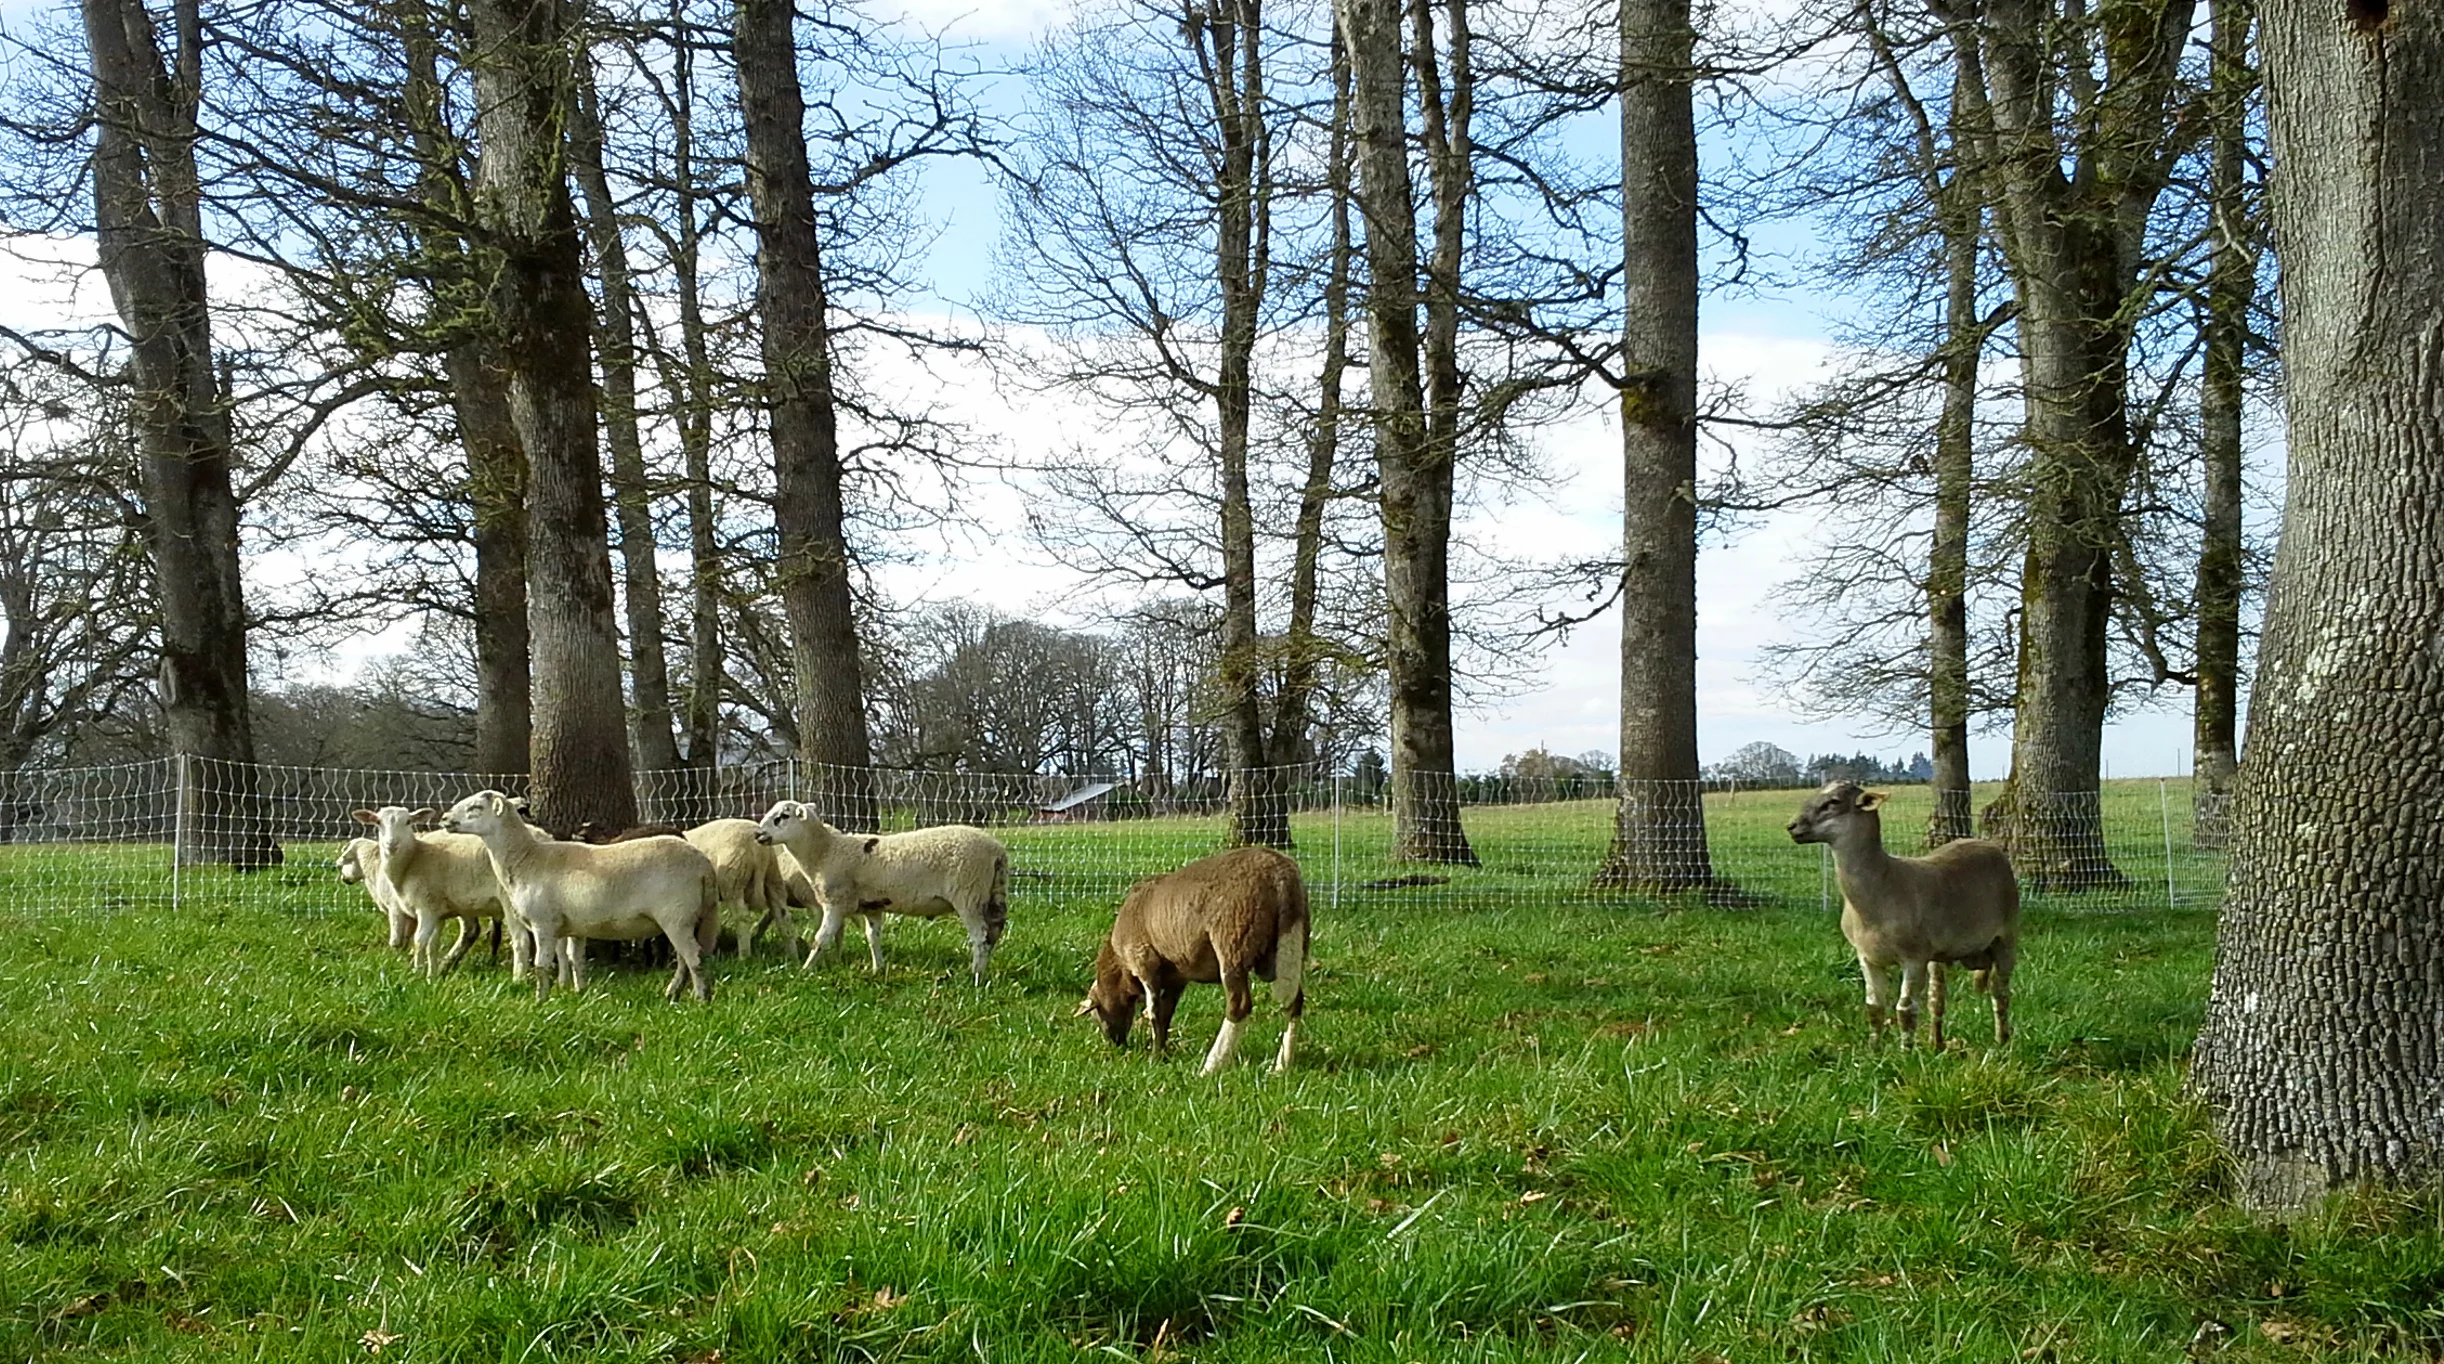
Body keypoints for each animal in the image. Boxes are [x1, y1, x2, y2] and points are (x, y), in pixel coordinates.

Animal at [351, 806, 522, 979]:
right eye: (378, 822)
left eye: (408, 821)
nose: (391, 844)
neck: (413, 858)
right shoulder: (438, 912)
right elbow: (432, 945)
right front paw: (431, 976)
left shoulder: (425, 908)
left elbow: (418, 941)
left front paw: (417, 974)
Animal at [442, 789, 718, 1002]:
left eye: (476, 807)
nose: (444, 818)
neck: (527, 860)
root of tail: (704, 864)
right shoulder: (576, 926)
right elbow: (576, 960)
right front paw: (580, 993)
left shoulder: (544, 923)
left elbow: (542, 966)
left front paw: (540, 1001)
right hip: (683, 918)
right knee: (683, 960)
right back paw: (674, 993)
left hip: (676, 916)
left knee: (694, 958)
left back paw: (701, 999)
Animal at [752, 801, 1009, 985]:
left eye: (782, 817)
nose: (757, 835)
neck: (825, 852)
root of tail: (997, 850)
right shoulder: (872, 906)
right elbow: (872, 937)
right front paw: (878, 969)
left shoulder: (836, 903)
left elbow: (821, 939)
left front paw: (805, 971)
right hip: (989, 896)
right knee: (992, 935)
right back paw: (981, 971)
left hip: (969, 894)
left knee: (981, 938)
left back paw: (975, 976)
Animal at [1078, 846, 1310, 1075]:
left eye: (1097, 1014)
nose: (1116, 1045)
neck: (1120, 968)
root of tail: (1280, 874)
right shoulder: (1177, 978)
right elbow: (1166, 1013)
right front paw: (1162, 1053)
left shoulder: (1144, 962)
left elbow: (1153, 1012)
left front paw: (1154, 1058)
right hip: (1286, 946)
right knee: (1294, 1000)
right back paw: (1282, 1065)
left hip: (1234, 941)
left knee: (1239, 1004)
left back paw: (1211, 1066)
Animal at [1786, 781, 2020, 1048]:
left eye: (1832, 802)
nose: (1792, 826)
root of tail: (1987, 844)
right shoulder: (1866, 957)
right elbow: (1874, 1007)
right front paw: (1874, 1049)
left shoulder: (1913, 957)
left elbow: (1905, 1009)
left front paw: (1906, 1050)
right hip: (1939, 955)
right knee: (1937, 998)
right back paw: (1936, 1044)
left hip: (2006, 936)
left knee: (1999, 992)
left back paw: (2001, 1041)